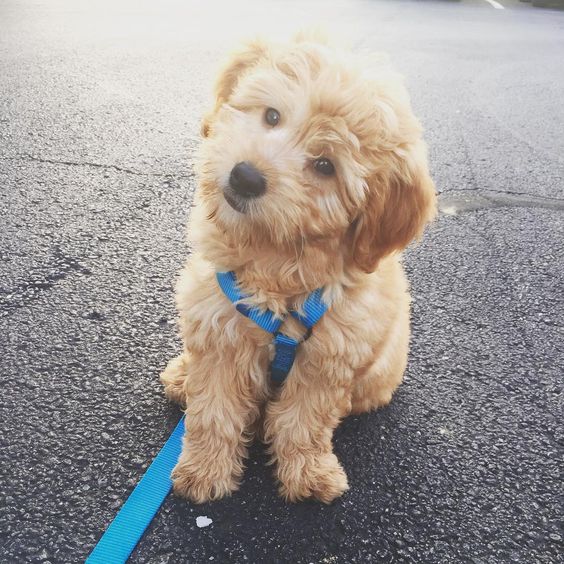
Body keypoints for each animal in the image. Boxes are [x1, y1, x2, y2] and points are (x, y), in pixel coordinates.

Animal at [160, 34, 436, 502]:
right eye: (272, 116)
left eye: (325, 165)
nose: (246, 177)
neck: (275, 260)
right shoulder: (219, 329)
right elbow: (214, 409)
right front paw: (204, 472)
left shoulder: (331, 354)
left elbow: (303, 421)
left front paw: (308, 474)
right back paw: (182, 376)